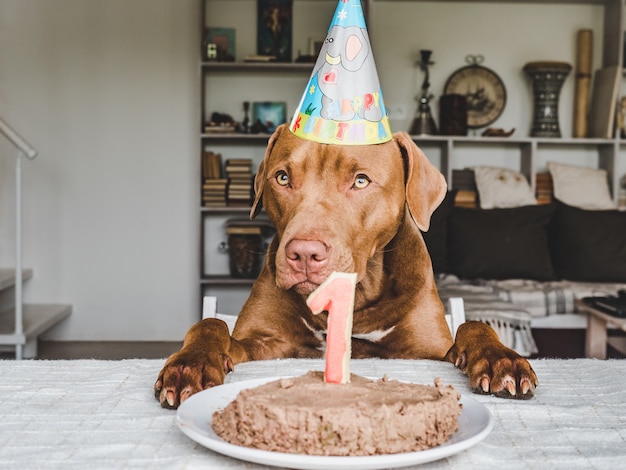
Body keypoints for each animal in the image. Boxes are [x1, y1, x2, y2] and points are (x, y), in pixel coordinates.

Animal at [155, 125, 536, 408]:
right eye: (282, 178)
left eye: (361, 181)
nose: (303, 254)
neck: (357, 295)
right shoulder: (261, 344)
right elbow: (211, 323)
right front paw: (190, 364)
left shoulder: (430, 351)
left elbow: (472, 325)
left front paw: (501, 359)